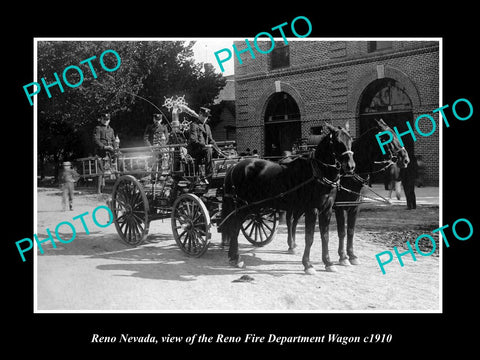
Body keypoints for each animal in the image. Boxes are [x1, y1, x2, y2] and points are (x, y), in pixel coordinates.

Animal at [219, 122, 354, 274]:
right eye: (337, 141)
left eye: (350, 140)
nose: (350, 166)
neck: (317, 172)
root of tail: (235, 166)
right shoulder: (311, 209)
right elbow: (309, 237)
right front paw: (308, 264)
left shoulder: (327, 210)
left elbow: (325, 236)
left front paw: (328, 262)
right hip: (243, 207)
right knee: (235, 228)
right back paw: (236, 258)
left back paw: (232, 256)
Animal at [334, 118, 408, 264]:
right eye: (386, 136)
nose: (405, 159)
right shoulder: (339, 207)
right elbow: (342, 232)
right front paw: (343, 257)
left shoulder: (354, 207)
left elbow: (350, 230)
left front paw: (352, 255)